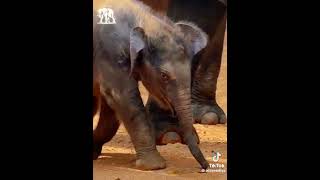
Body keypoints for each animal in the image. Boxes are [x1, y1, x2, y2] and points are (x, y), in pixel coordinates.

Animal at [93, 0, 208, 170]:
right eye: (164, 76)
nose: (205, 166)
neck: (145, 22)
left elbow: (110, 104)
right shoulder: (109, 52)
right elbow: (121, 96)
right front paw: (154, 166)